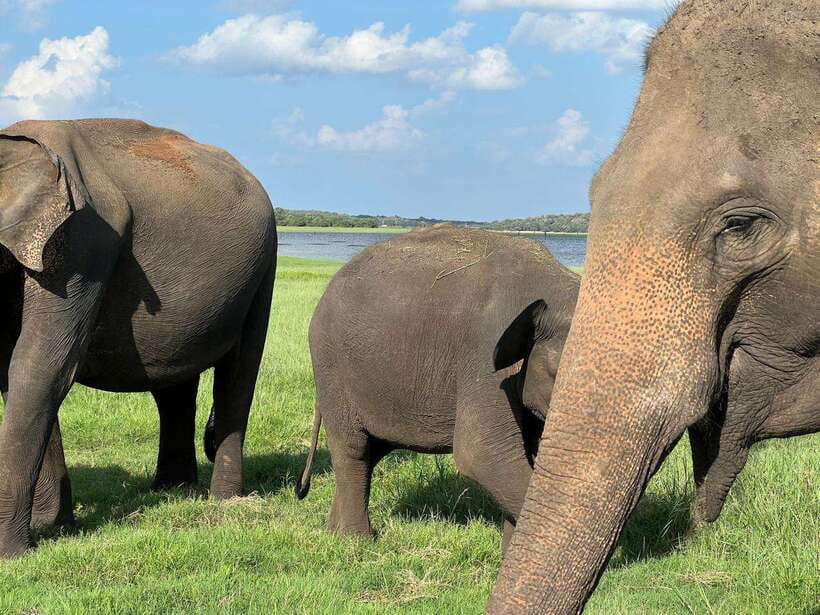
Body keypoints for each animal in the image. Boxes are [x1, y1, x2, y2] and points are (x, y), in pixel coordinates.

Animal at [0, 119, 277, 557]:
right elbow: (16, 376)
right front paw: (53, 526)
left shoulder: (83, 242)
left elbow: (39, 368)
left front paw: (13, 553)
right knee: (174, 386)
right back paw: (173, 489)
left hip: (264, 267)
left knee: (237, 376)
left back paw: (224, 501)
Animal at [296, 225, 579, 551]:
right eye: (559, 374)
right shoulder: (484, 357)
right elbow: (483, 454)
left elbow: (526, 452)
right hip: (332, 366)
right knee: (353, 448)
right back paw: (357, 541)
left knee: (372, 450)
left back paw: (335, 530)